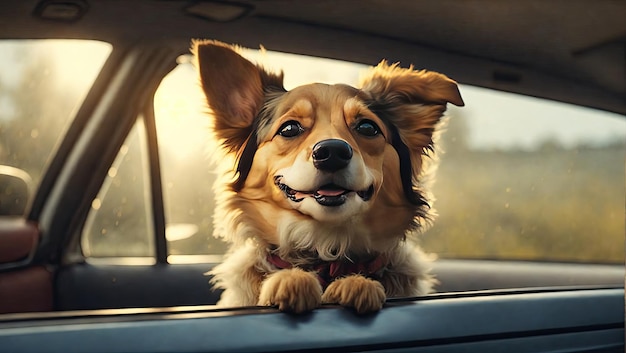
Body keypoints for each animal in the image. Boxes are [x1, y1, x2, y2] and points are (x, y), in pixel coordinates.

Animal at [193, 39, 460, 314]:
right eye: (289, 128)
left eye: (367, 127)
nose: (332, 153)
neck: (326, 250)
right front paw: (291, 280)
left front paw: (356, 284)